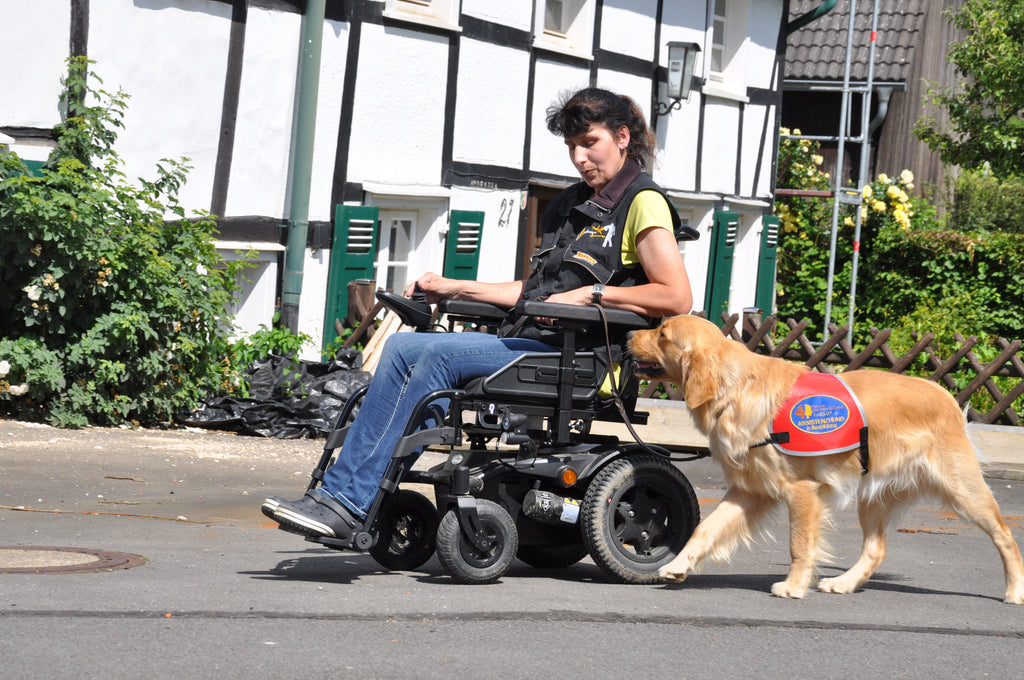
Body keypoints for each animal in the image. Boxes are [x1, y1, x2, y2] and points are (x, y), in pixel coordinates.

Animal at [622, 313, 1024, 602]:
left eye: (662, 334)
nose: (627, 336)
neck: (737, 389)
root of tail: (947, 397)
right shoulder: (749, 491)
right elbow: (705, 529)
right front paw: (678, 564)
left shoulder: (802, 491)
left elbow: (799, 545)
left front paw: (793, 585)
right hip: (873, 495)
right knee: (876, 549)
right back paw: (844, 583)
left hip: (962, 490)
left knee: (1005, 535)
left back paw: (1014, 590)